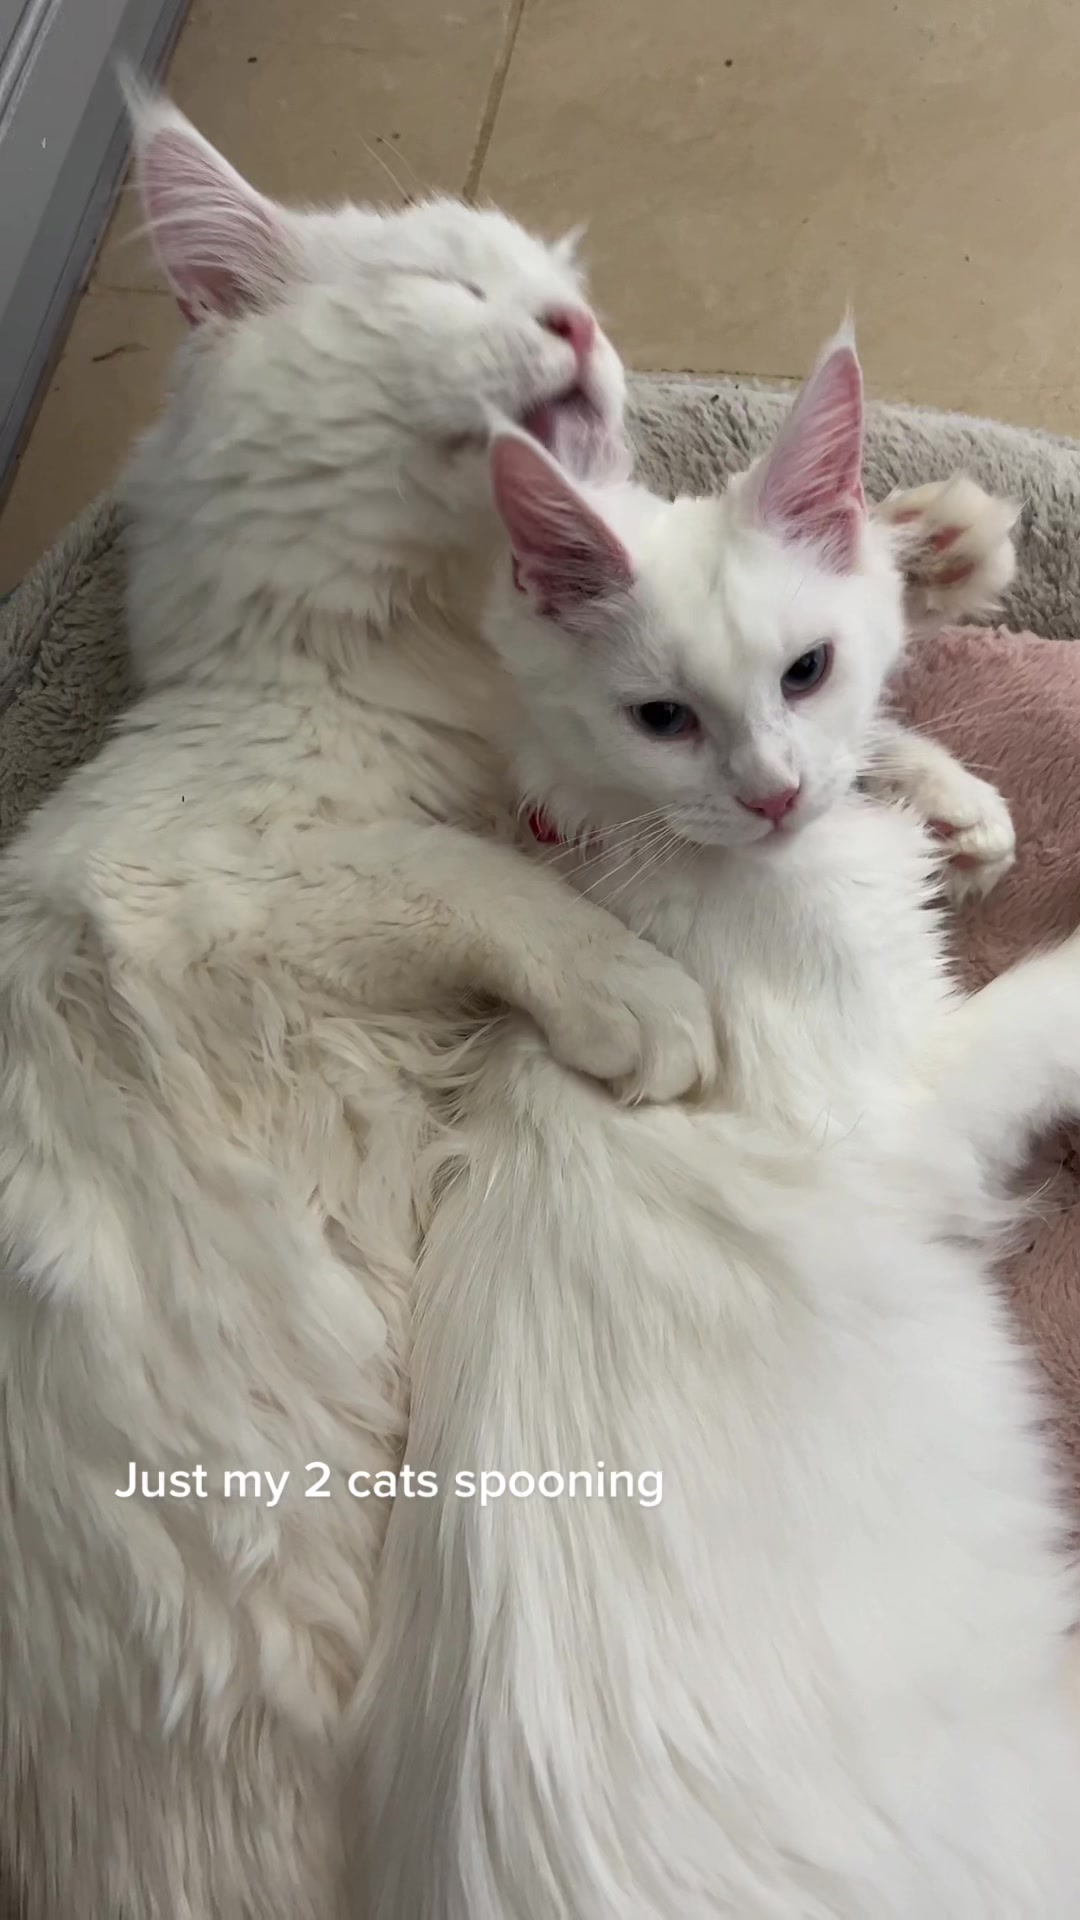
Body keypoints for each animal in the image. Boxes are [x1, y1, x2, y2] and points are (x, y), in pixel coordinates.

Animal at [354, 335, 1080, 1918]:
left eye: (804, 673)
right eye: (663, 720)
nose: (773, 792)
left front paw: (950, 797)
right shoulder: (908, 1107)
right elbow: (1057, 995)